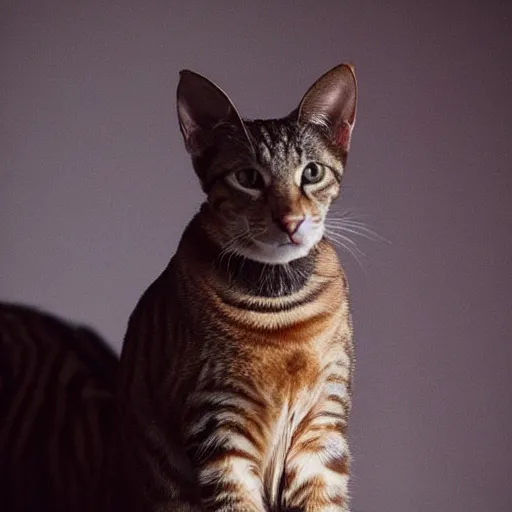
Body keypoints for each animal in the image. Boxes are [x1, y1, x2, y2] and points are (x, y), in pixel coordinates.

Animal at [112, 65, 358, 512]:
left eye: (311, 172)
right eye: (248, 178)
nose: (291, 220)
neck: (281, 305)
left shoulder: (323, 425)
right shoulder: (220, 426)